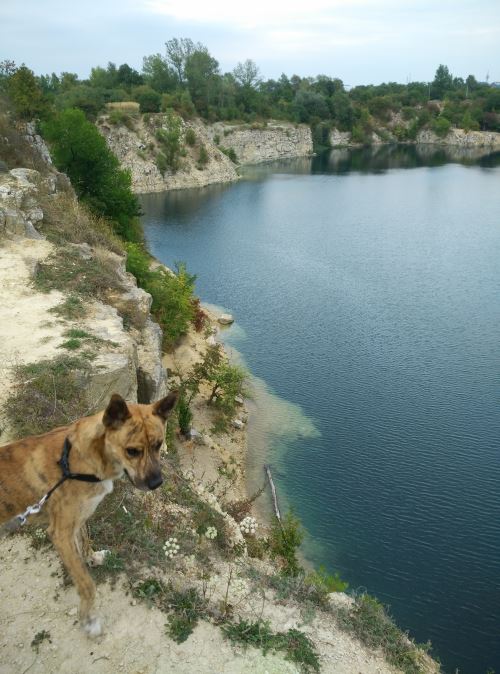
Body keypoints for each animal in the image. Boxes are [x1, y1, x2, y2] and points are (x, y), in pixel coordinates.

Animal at [0, 388, 179, 636]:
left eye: (159, 445)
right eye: (132, 451)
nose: (157, 483)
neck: (77, 460)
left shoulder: (79, 520)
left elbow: (85, 541)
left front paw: (93, 558)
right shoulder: (60, 534)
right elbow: (87, 584)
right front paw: (88, 620)